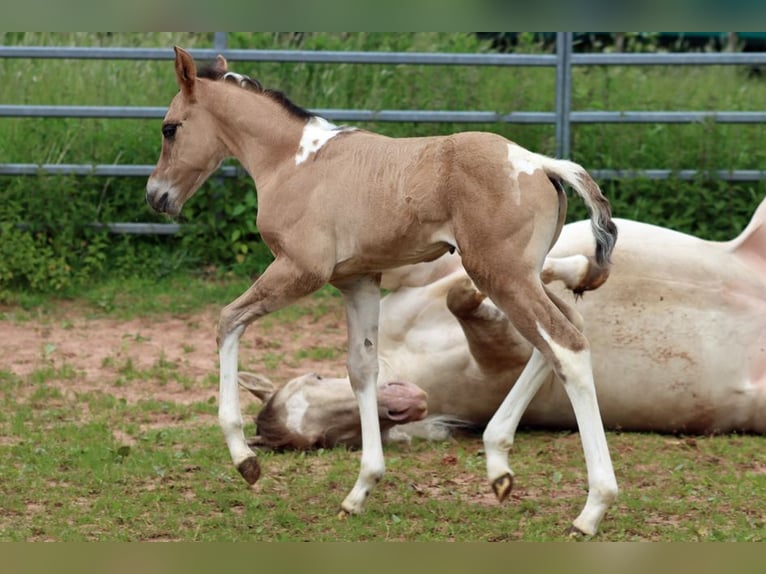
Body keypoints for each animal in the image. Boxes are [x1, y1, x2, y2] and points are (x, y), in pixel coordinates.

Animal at [146, 46, 619, 535]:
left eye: (169, 128)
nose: (156, 196)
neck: (294, 163)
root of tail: (541, 164)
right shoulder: (358, 280)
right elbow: (362, 369)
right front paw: (361, 489)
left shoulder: (300, 271)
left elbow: (227, 322)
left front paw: (246, 461)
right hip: (521, 276)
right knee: (560, 334)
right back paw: (498, 463)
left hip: (501, 276)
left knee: (565, 346)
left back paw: (592, 508)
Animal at [241, 200, 766, 448]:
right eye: (324, 441)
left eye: (313, 377)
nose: (404, 403)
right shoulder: (503, 363)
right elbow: (470, 303)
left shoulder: (416, 272)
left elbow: (452, 279)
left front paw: (566, 272)